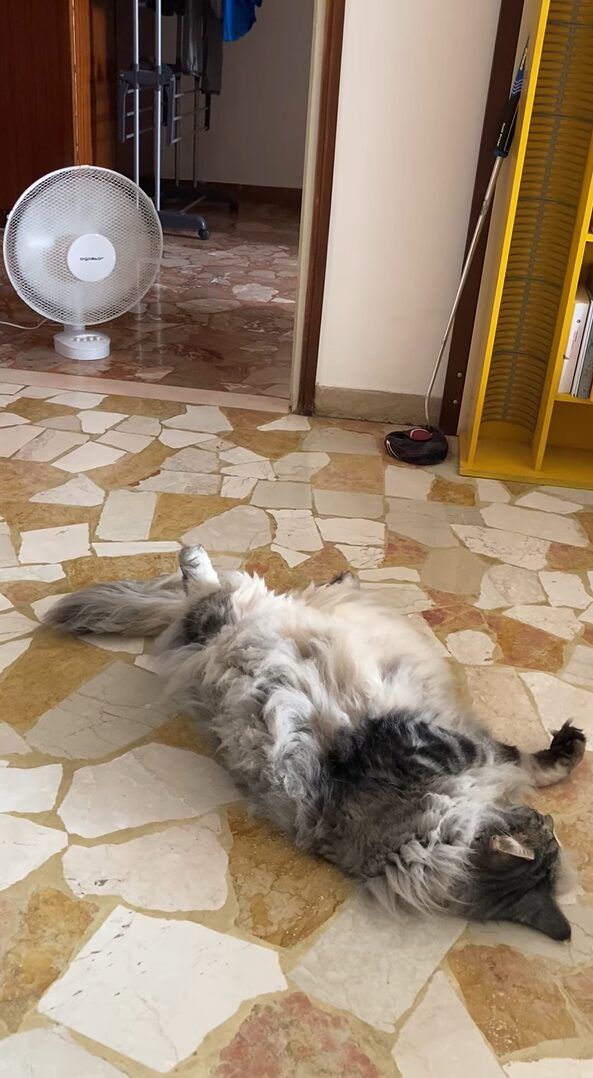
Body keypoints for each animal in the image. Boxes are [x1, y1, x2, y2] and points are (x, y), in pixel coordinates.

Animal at [45, 545, 586, 940]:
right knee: (209, 590)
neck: (418, 842)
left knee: (227, 592)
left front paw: (557, 759)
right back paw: (201, 555)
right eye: (545, 838)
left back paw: (338, 576)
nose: (549, 821)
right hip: (225, 629)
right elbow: (495, 751)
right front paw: (562, 751)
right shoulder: (409, 740)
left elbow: (512, 759)